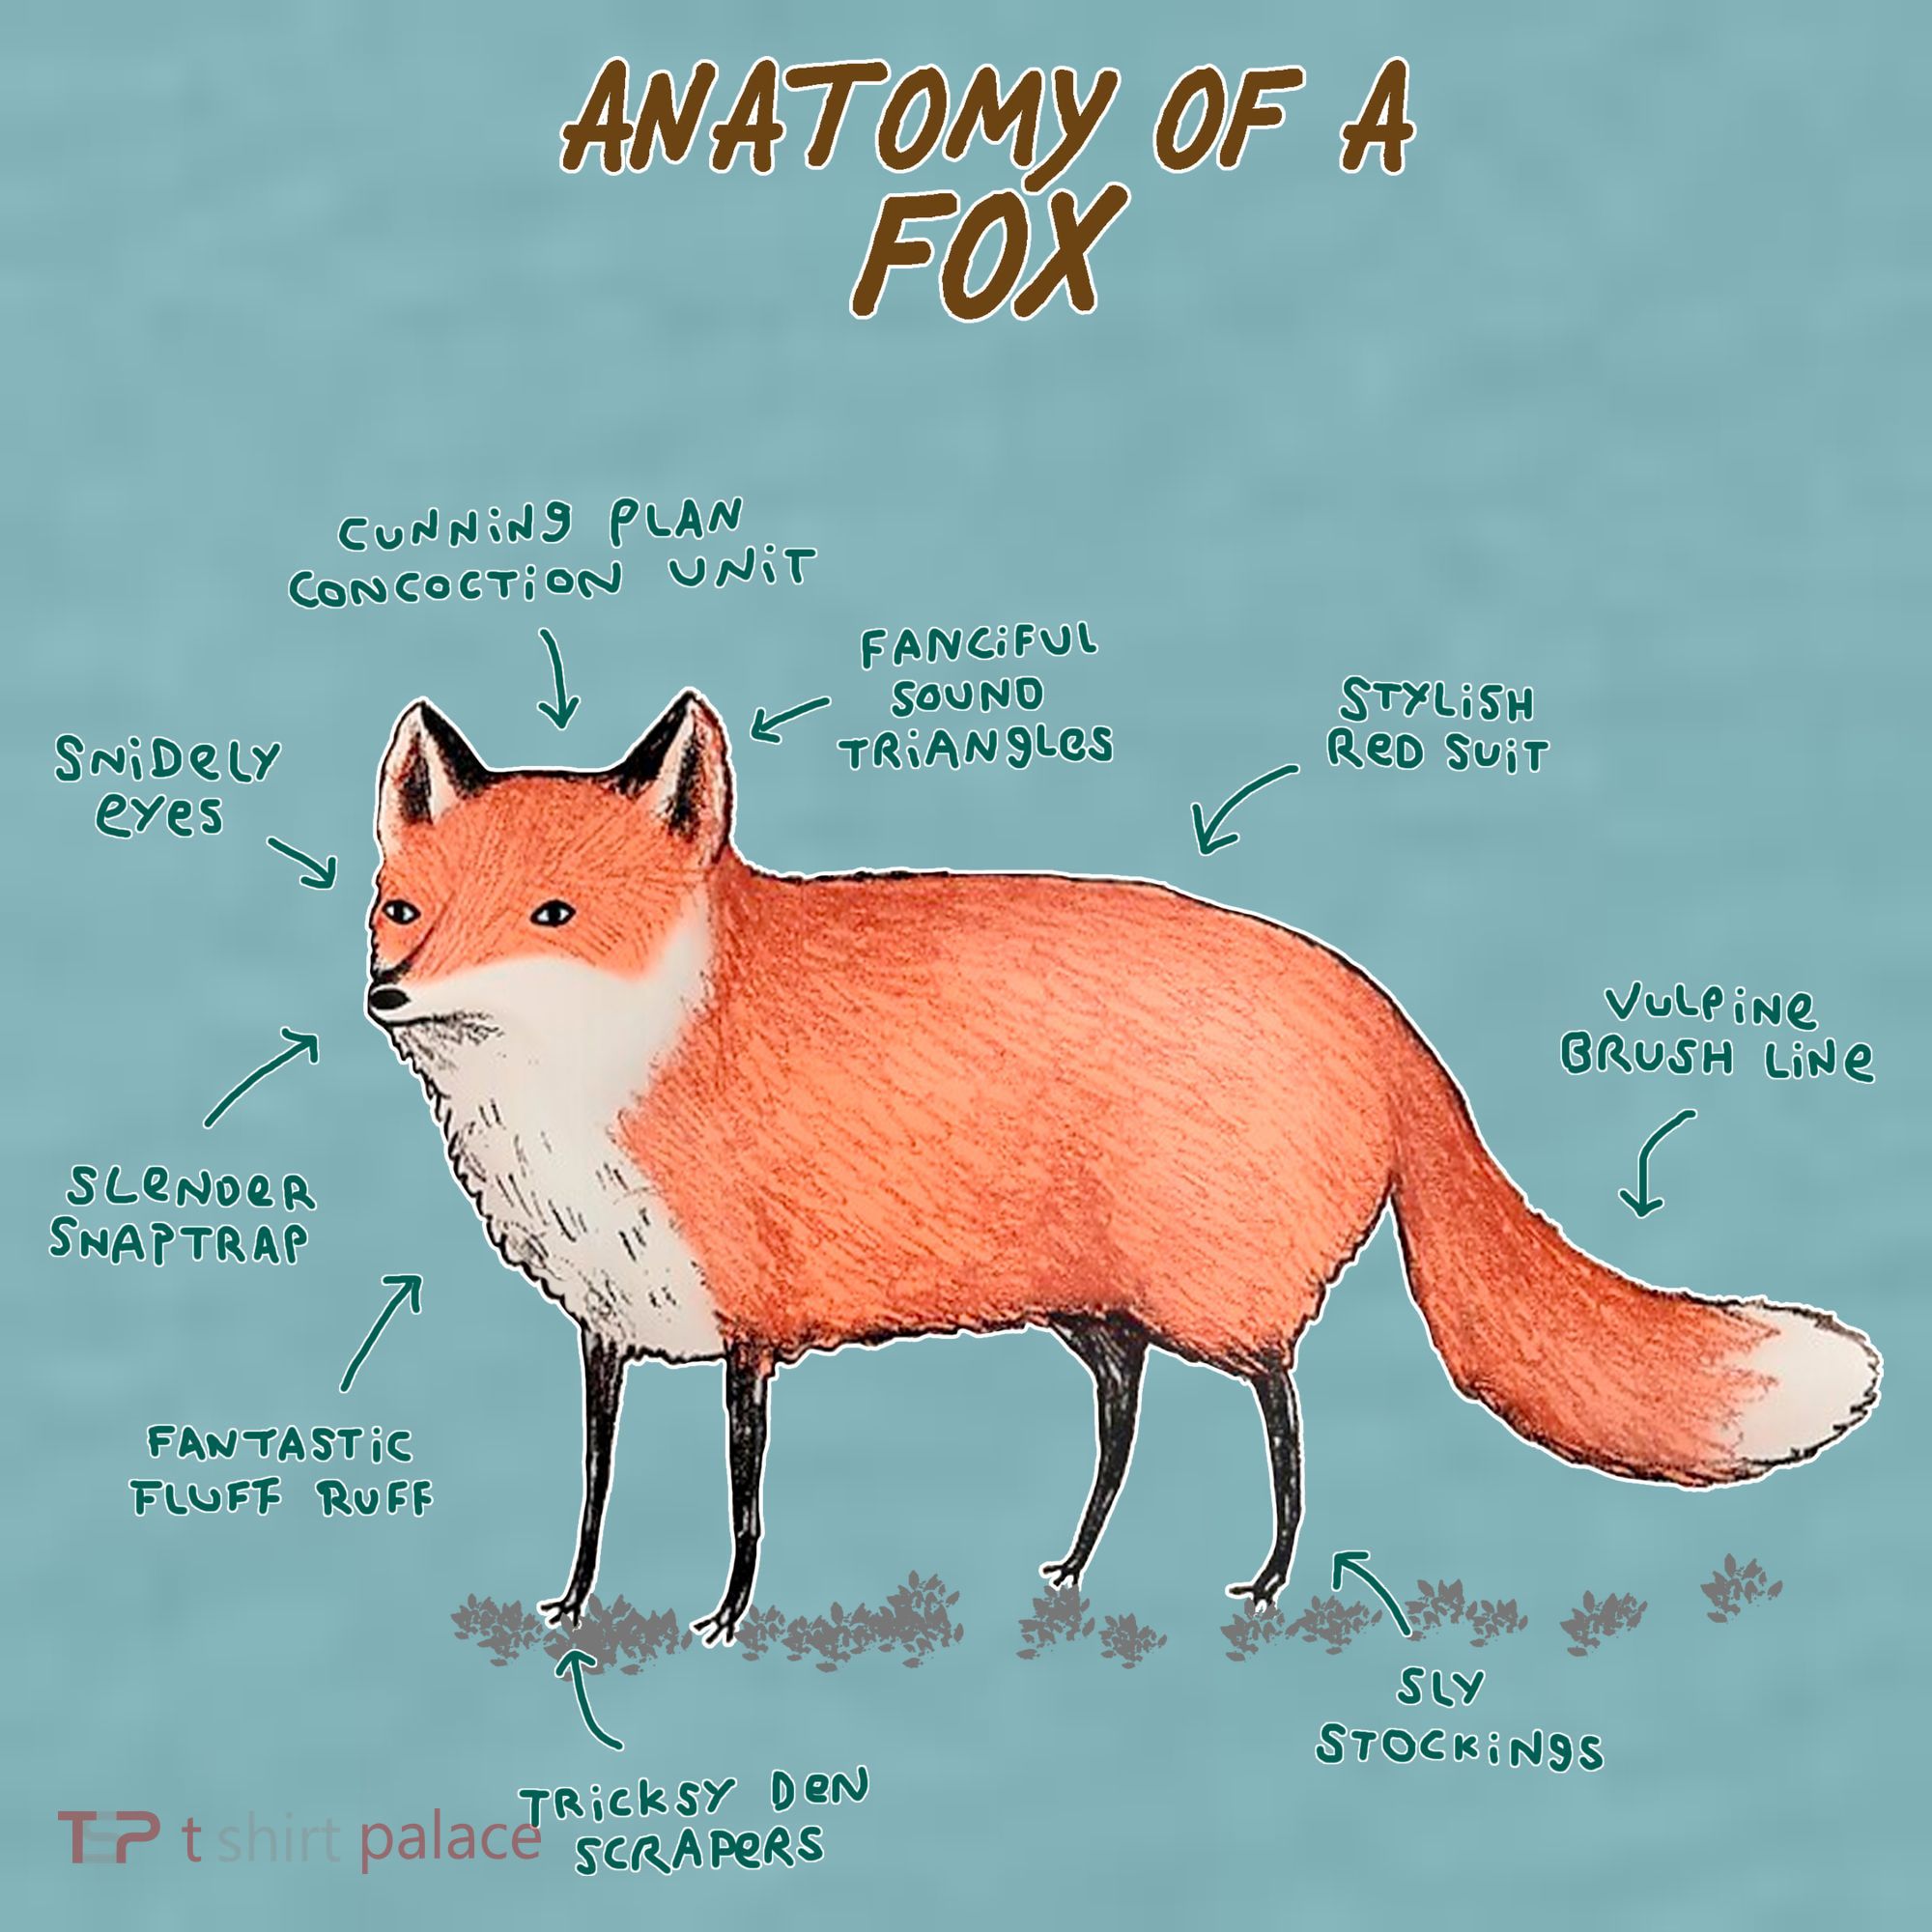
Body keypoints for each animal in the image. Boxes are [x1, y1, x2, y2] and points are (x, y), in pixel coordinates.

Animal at [367, 689, 1880, 1644]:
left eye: (554, 914)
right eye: (403, 909)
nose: (389, 992)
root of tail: (1376, 1009)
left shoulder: (749, 1328)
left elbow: (741, 1502)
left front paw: (730, 1619)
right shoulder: (608, 1326)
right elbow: (593, 1489)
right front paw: (573, 1606)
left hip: (1216, 1303)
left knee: (1282, 1414)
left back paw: (1268, 1580)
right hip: (1100, 1314)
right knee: (1122, 1427)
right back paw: (1076, 1571)